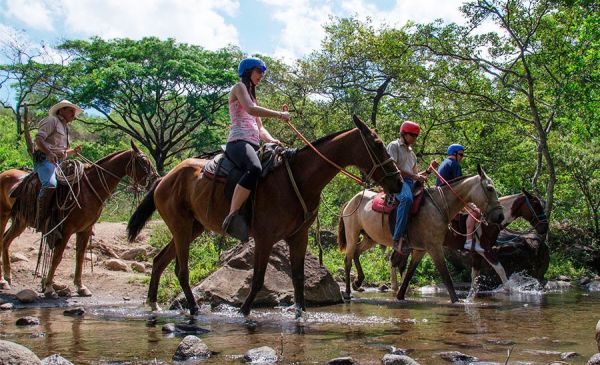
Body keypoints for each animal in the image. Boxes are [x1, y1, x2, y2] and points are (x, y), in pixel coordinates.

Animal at [0, 141, 158, 298]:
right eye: (144, 161)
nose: (156, 180)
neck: (89, 189)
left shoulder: (85, 229)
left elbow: (80, 257)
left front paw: (81, 287)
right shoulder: (65, 230)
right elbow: (57, 257)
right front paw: (49, 287)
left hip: (20, 222)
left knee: (5, 241)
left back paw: (7, 277)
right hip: (4, 216)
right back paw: (3, 280)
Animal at [340, 165, 504, 302]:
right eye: (490, 188)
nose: (500, 216)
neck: (439, 206)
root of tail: (350, 201)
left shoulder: (420, 250)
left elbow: (409, 275)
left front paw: (400, 296)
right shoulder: (434, 248)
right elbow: (446, 277)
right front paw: (456, 301)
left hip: (370, 238)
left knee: (357, 252)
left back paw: (358, 282)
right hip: (352, 233)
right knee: (348, 259)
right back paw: (347, 292)